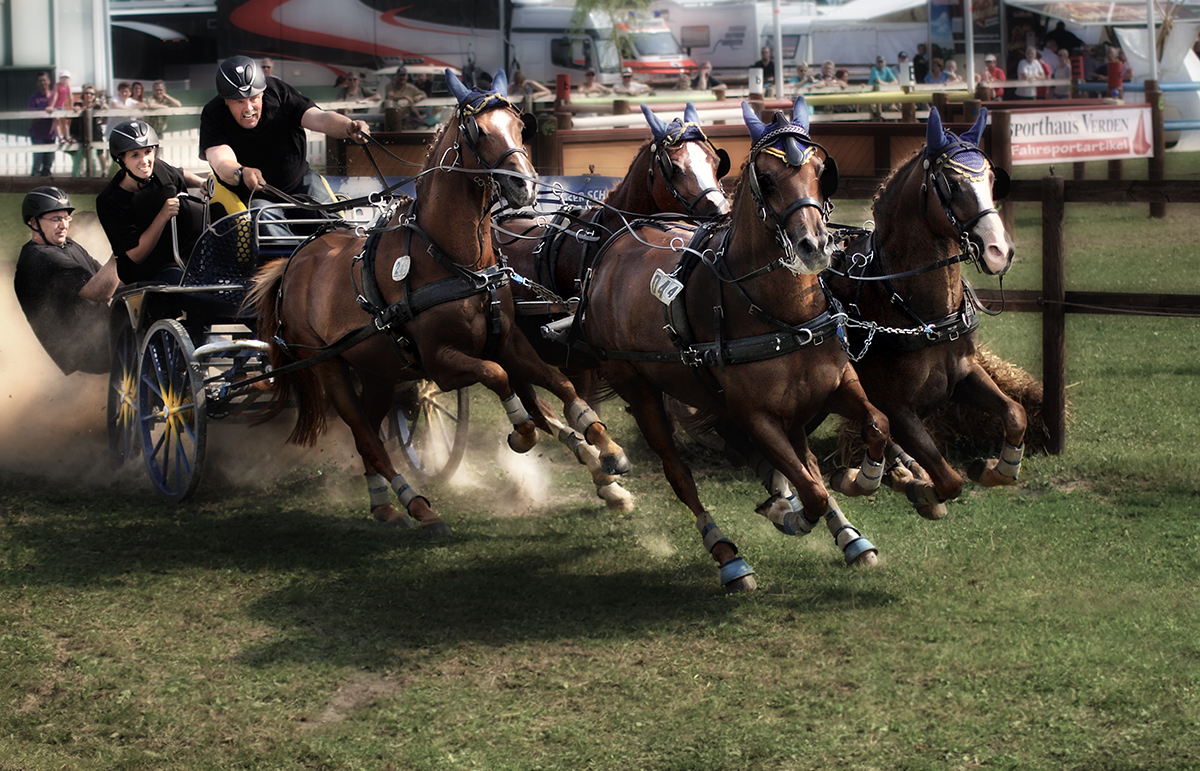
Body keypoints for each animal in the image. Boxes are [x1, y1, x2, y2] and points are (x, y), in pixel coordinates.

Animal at [249, 69, 633, 530]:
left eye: (520, 126)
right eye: (478, 131)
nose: (524, 185)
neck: (453, 259)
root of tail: (295, 258)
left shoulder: (509, 341)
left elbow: (559, 384)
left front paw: (607, 449)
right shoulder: (441, 363)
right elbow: (498, 378)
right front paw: (521, 433)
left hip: (379, 370)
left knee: (370, 434)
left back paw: (384, 503)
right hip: (328, 368)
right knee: (366, 437)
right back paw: (417, 504)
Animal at [494, 103, 729, 509]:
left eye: (715, 161)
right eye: (674, 167)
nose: (720, 211)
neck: (601, 243)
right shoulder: (586, 357)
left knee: (535, 407)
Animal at [576, 99, 897, 590]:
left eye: (822, 170)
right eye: (766, 178)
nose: (814, 246)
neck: (782, 313)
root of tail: (612, 246)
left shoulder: (834, 384)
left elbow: (875, 424)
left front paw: (860, 481)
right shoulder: (755, 414)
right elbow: (810, 490)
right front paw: (790, 515)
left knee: (804, 457)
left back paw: (846, 535)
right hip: (639, 389)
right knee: (678, 472)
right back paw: (728, 555)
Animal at [825, 106, 1022, 516]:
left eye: (991, 179)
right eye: (952, 183)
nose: (1000, 251)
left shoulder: (963, 375)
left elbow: (1015, 413)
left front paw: (994, 469)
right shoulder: (896, 406)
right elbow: (948, 479)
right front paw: (921, 490)